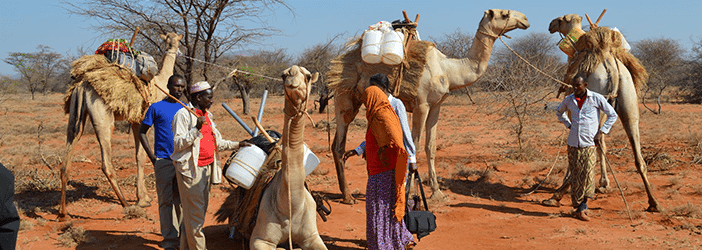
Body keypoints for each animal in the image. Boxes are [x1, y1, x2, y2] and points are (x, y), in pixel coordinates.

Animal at [59, 32, 184, 219]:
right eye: (175, 39)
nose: (176, 45)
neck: (159, 83)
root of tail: (83, 85)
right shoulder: (142, 118)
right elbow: (141, 156)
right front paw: (143, 200)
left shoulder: (134, 120)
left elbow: (138, 155)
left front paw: (143, 197)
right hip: (102, 117)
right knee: (106, 162)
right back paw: (126, 204)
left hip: (75, 116)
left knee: (66, 159)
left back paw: (62, 212)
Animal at [250, 65, 328, 249]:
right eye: (282, 75)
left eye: (308, 76)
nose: (292, 74)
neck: (290, 208)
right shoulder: (260, 239)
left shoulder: (312, 237)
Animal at [328, 8, 532, 203]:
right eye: (504, 14)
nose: (525, 19)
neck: (448, 70)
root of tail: (337, 64)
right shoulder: (422, 104)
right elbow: (414, 145)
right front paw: (409, 190)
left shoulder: (436, 106)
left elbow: (430, 146)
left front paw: (437, 192)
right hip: (344, 96)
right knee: (339, 143)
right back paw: (348, 197)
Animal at [548, 14, 664, 212]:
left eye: (562, 19)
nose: (551, 24)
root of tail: (612, 67)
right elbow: (601, 141)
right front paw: (604, 183)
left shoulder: (575, 111)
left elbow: (578, 144)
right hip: (628, 103)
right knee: (636, 153)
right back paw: (653, 202)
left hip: (599, 97)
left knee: (593, 142)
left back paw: (558, 195)